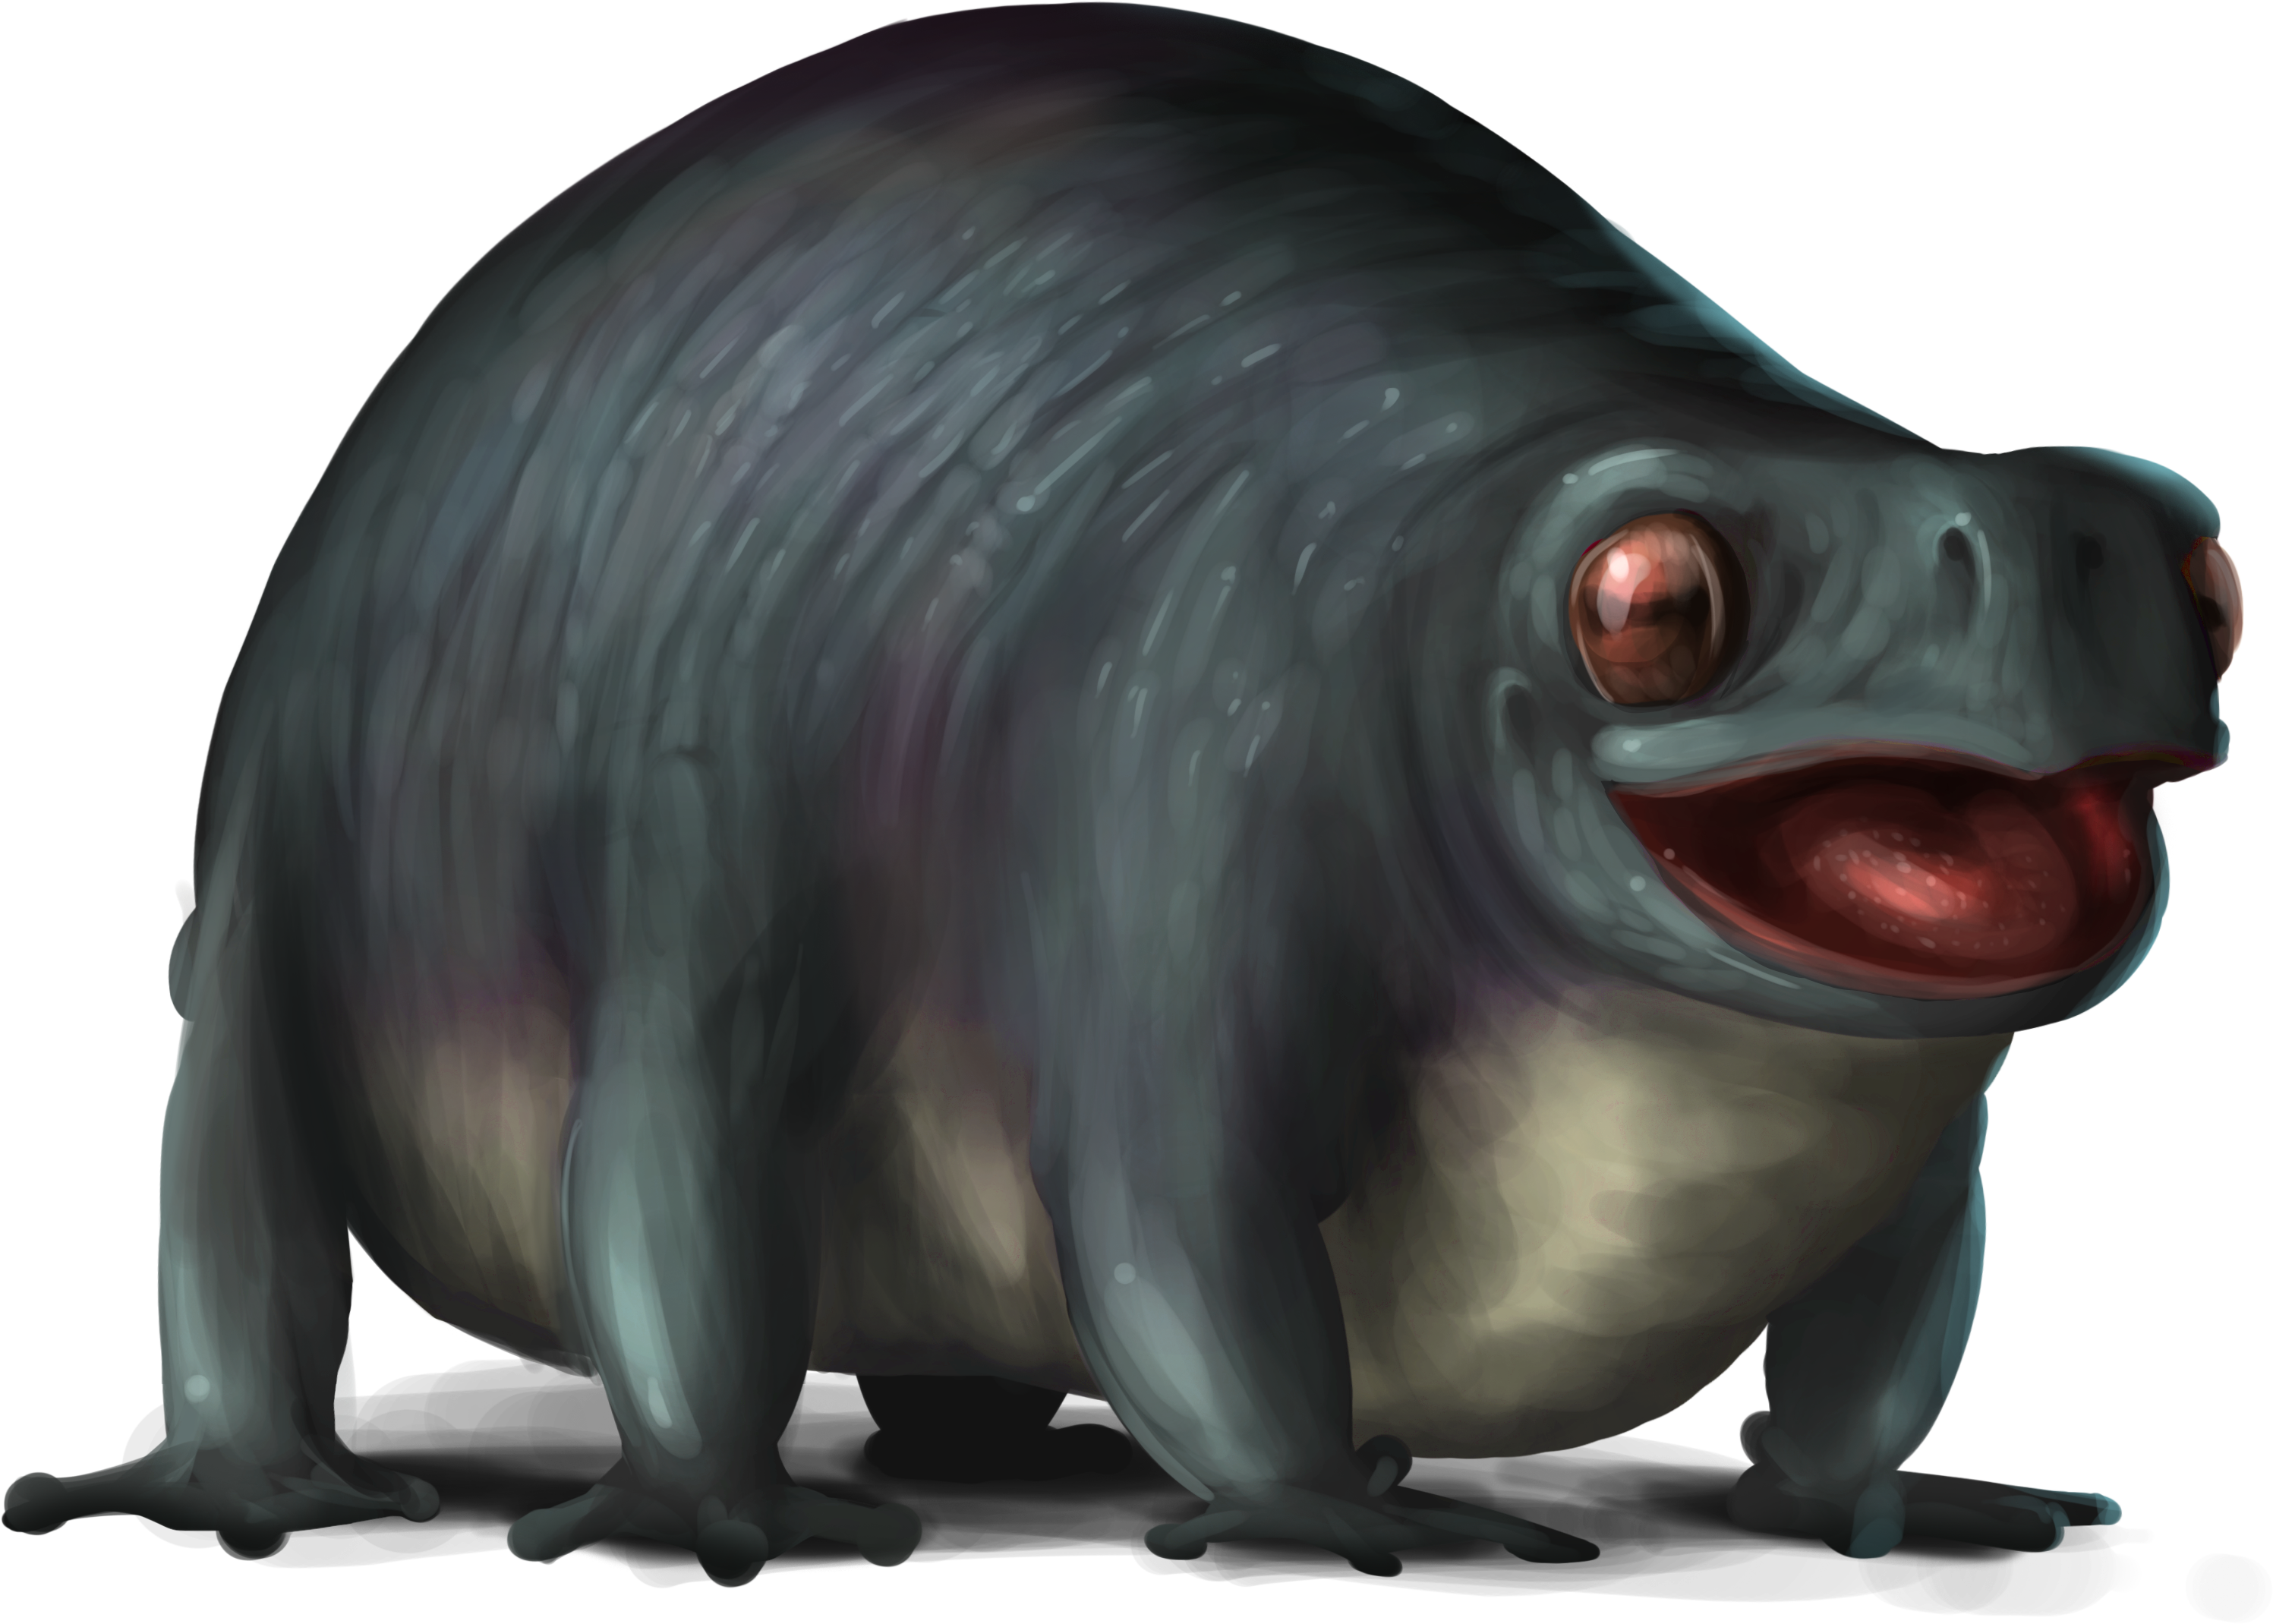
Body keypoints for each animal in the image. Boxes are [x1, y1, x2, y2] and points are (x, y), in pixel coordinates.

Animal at [4, 2, 2242, 1594]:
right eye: (1649, 600)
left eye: (2206, 576)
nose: (2063, 556)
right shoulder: (1196, 799)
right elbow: (1177, 1226)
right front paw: (1334, 1516)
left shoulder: (1923, 1120)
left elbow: (1885, 1326)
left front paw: (1910, 1508)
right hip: (364, 828)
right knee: (479, 1109)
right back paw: (473, 1498)